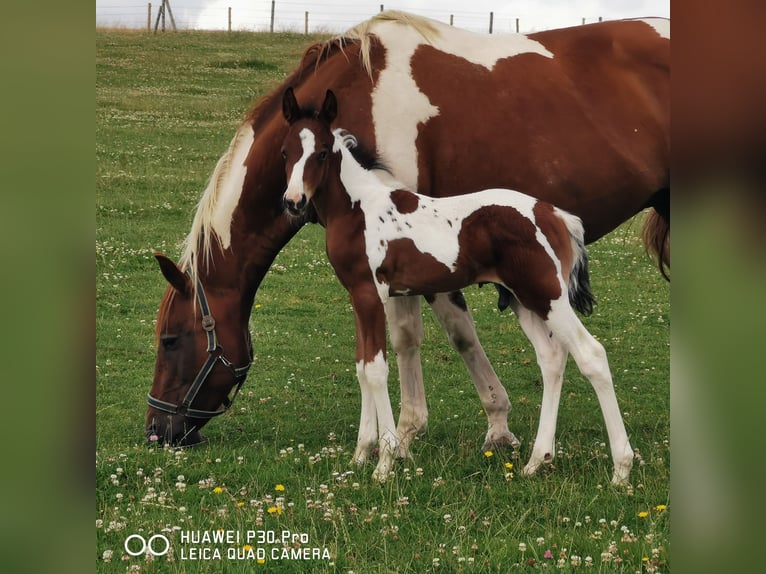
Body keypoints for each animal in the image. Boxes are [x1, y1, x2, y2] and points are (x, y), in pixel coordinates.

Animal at [282, 89, 636, 486]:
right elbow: (361, 367)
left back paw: (621, 469)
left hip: (549, 296)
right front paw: (360, 455)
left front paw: (384, 463)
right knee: (551, 357)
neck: (360, 210)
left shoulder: (370, 295)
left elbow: (375, 371)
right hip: (524, 300)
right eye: (285, 152)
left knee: (591, 355)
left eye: (322, 152)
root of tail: (556, 216)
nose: (293, 202)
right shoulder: (358, 299)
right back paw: (536, 460)